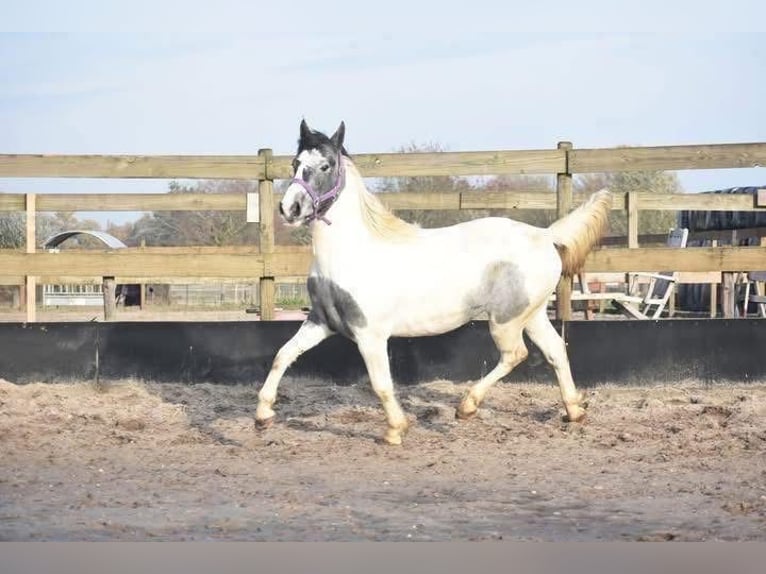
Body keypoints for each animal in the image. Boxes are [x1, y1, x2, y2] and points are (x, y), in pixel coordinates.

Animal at [255, 120, 612, 445]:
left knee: (515, 354)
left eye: (326, 165)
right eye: (295, 163)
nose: (290, 208)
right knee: (555, 350)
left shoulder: (370, 334)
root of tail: (545, 234)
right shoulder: (320, 322)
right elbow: (283, 355)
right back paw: (573, 412)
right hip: (532, 314)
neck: (351, 253)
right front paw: (262, 416)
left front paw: (395, 430)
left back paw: (467, 407)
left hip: (505, 320)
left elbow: (381, 384)